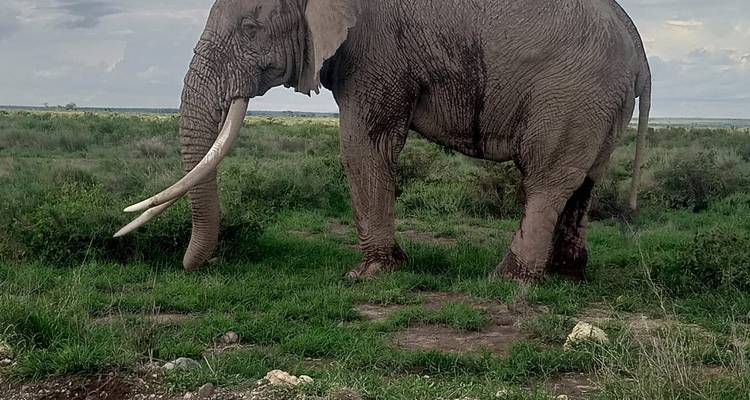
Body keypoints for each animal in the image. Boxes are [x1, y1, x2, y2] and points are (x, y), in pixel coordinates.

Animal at [115, 0, 652, 283]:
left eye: (250, 28)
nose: (195, 266)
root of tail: (638, 45)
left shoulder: (377, 50)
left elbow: (362, 144)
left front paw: (370, 276)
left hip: (573, 91)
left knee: (546, 180)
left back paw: (508, 280)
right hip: (602, 102)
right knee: (584, 182)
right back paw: (567, 275)